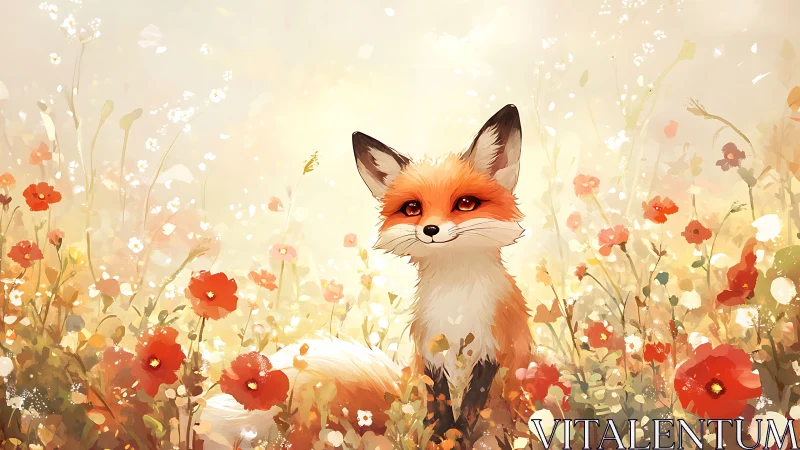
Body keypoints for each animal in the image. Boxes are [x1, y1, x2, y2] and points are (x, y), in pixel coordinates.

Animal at [200, 105, 531, 448]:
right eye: (412, 208)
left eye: (465, 204)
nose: (430, 229)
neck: (456, 301)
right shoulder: (430, 353)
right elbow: (440, 410)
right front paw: (441, 441)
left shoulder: (492, 348)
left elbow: (468, 411)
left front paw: (458, 440)